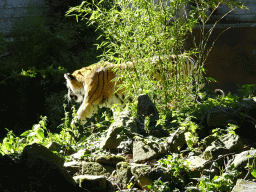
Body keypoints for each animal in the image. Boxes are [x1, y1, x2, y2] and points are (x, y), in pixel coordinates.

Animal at [64, 54, 196, 125]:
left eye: (68, 87)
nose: (69, 96)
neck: (84, 79)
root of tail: (186, 57)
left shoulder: (89, 101)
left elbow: (79, 115)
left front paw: (72, 131)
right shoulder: (116, 104)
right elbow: (117, 116)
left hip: (179, 88)